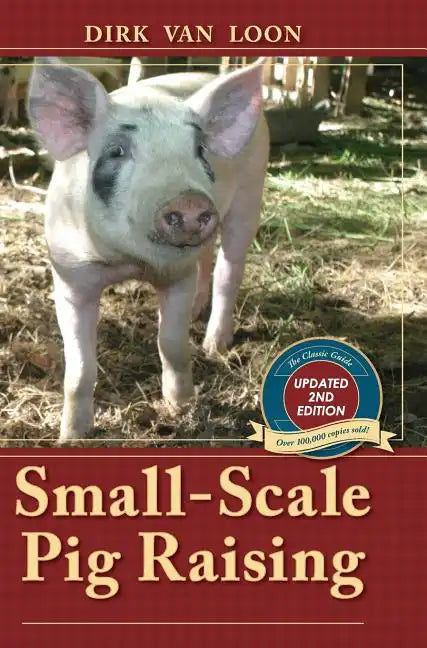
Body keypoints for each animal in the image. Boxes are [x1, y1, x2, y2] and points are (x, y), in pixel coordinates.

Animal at [27, 56, 269, 441]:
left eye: (200, 150)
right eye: (117, 151)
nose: (190, 201)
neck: (129, 262)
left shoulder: (177, 275)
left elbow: (171, 344)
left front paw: (181, 408)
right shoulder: (69, 276)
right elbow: (79, 368)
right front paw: (71, 437)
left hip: (250, 195)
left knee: (229, 269)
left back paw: (215, 345)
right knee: (206, 258)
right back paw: (198, 314)